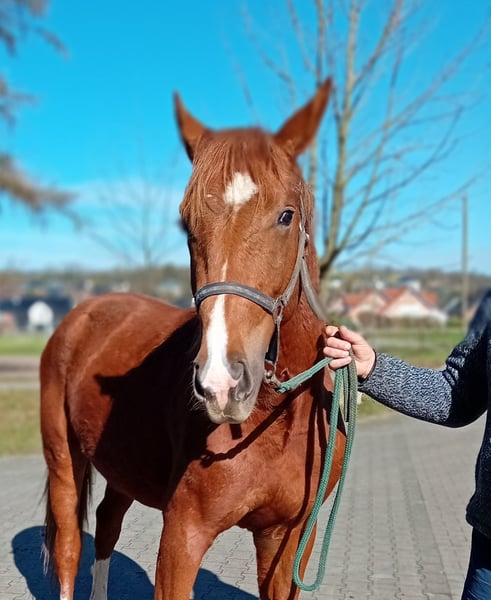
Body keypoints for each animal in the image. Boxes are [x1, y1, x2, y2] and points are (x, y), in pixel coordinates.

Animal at [40, 76, 347, 600]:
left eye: (286, 216)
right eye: (187, 223)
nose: (221, 384)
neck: (277, 419)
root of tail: (80, 315)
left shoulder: (289, 541)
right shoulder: (183, 535)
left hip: (121, 465)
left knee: (106, 523)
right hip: (64, 461)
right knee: (68, 548)